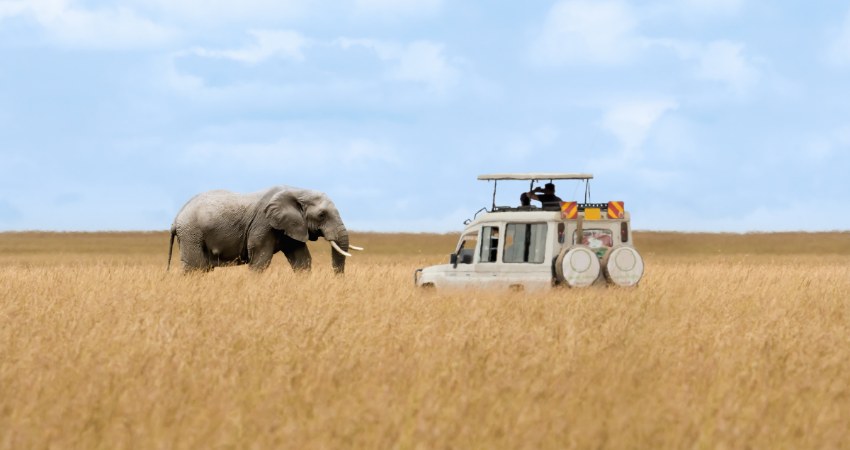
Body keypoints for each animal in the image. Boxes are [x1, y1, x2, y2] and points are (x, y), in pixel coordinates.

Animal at [167, 186, 361, 273]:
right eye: (322, 215)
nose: (338, 280)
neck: (296, 191)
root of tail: (176, 219)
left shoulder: (291, 226)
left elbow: (302, 260)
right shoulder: (263, 224)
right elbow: (261, 260)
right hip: (192, 233)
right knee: (195, 267)